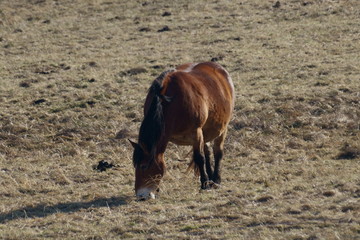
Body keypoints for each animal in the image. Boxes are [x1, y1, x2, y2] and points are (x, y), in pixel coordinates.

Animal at [129, 61, 233, 200]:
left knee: (217, 152)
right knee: (208, 152)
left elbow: (199, 157)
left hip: (222, 129)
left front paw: (204, 184)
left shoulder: (196, 132)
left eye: (144, 166)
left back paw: (216, 180)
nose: (141, 196)